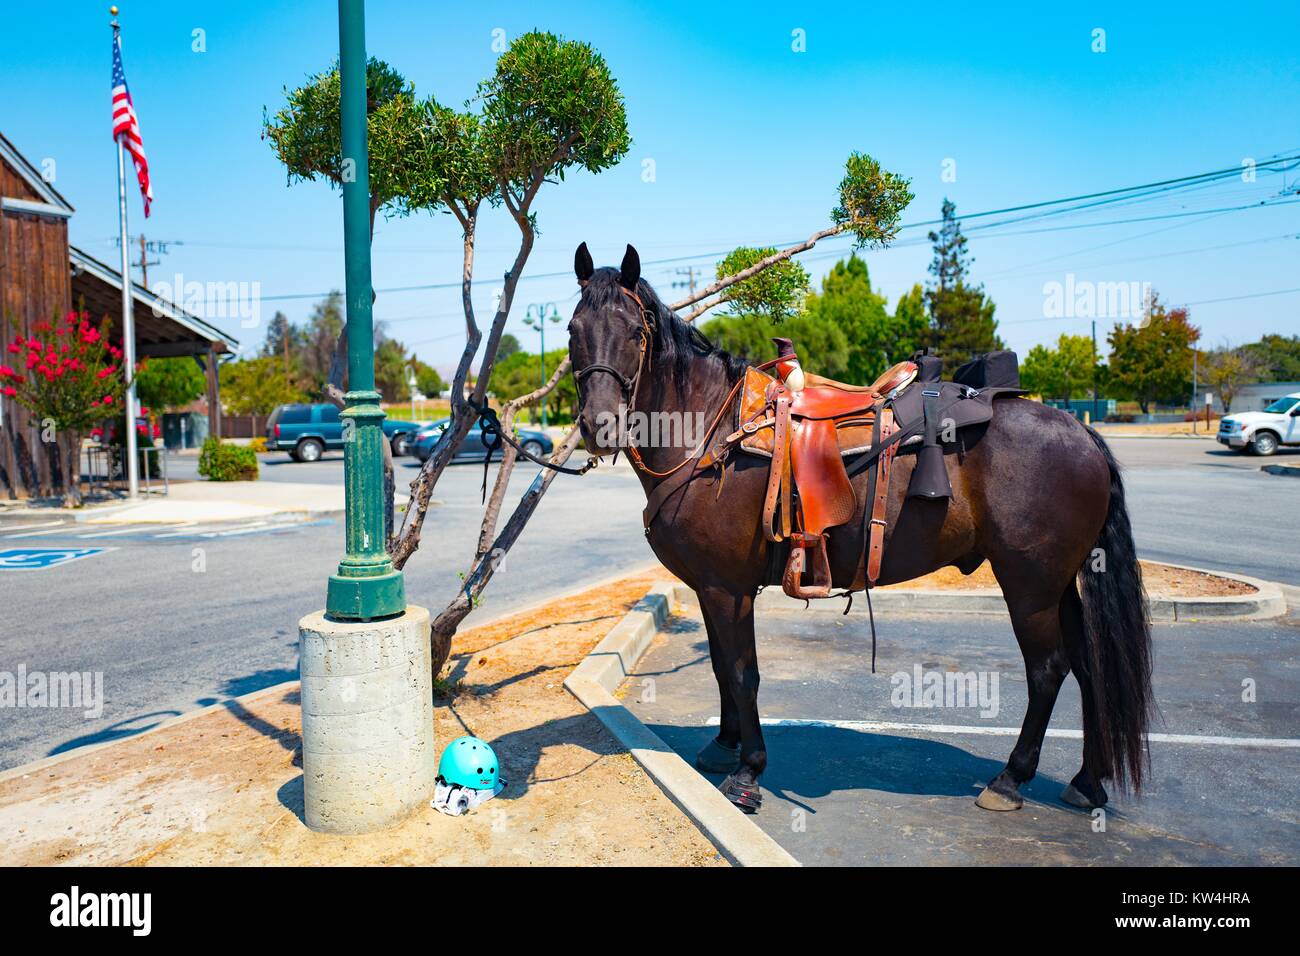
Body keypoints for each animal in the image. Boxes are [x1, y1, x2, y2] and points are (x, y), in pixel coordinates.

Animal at [567, 242, 1154, 816]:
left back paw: (1010, 779)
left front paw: (748, 771)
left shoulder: (728, 588)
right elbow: (718, 665)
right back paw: (1087, 781)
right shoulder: (713, 588)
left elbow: (740, 671)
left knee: (1048, 669)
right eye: (572, 331)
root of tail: (1081, 432)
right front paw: (723, 745)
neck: (712, 432)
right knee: (1089, 667)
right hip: (1060, 584)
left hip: (1030, 585)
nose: (600, 426)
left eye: (636, 332)